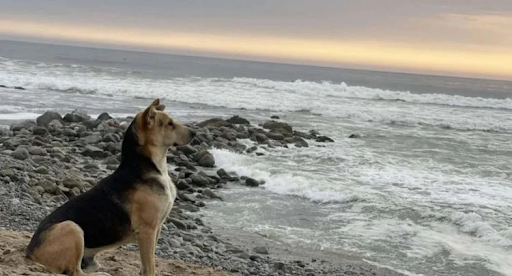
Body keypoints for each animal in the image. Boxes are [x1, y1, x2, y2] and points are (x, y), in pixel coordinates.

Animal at [24, 99, 196, 276]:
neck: (146, 166)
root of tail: (30, 251)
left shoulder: (156, 229)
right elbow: (150, 266)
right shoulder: (147, 231)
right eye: (170, 124)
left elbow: (145, 264)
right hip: (72, 227)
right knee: (75, 272)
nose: (194, 133)